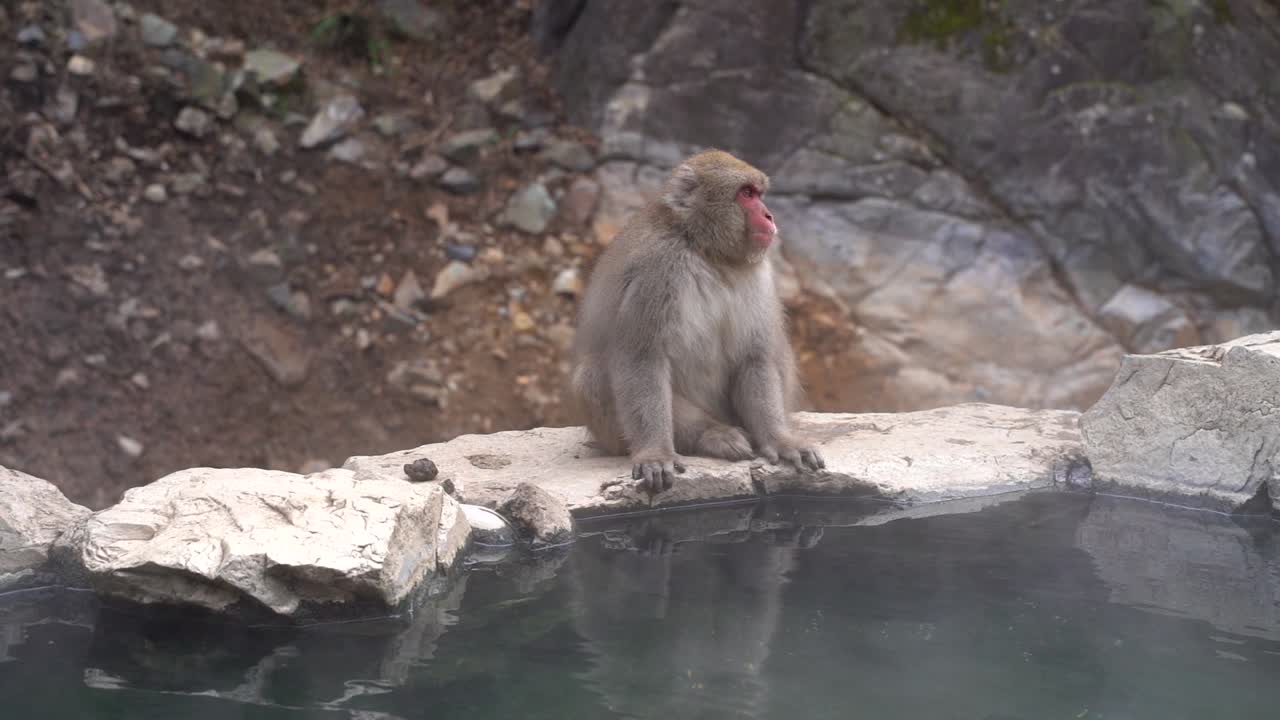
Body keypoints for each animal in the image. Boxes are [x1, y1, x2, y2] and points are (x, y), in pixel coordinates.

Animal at [568, 149, 825, 493]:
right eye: (746, 194)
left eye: (758, 194)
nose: (769, 215)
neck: (705, 250)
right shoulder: (655, 270)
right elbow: (641, 358)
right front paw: (656, 452)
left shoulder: (758, 275)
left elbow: (754, 357)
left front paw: (780, 440)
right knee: (595, 373)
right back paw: (711, 436)